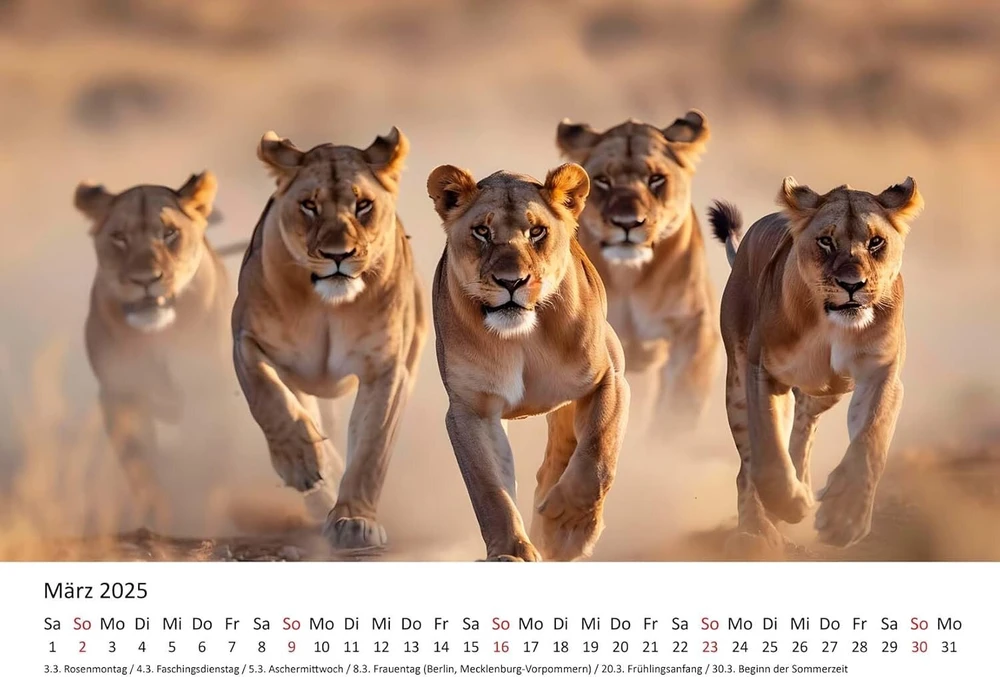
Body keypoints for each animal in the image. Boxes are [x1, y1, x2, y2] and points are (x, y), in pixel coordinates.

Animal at [74, 171, 230, 524]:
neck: (157, 337)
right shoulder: (121, 393)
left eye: (170, 233)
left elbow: (208, 464)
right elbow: (141, 468)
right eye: (119, 237)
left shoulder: (210, 392)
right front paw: (157, 519)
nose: (146, 279)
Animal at [231, 127, 428, 549]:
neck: (328, 306)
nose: (339, 255)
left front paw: (355, 521)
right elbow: (270, 399)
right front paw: (301, 464)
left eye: (363, 205)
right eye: (309, 205)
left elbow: (371, 449)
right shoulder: (248, 341)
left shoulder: (388, 368)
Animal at [427, 162, 630, 561]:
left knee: (561, 459)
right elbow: (490, 489)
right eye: (482, 231)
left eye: (537, 231)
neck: (522, 337)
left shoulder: (609, 379)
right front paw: (511, 551)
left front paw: (567, 530)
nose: (512, 281)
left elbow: (597, 456)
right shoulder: (470, 410)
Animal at [556, 110, 719, 438]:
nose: (627, 222)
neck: (629, 278)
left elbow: (684, 397)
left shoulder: (696, 323)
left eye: (656, 179)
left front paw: (667, 440)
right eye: (603, 181)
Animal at [709, 176, 923, 555]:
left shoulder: (881, 373)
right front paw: (788, 503)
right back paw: (755, 534)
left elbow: (870, 439)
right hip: (737, 382)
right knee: (747, 466)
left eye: (876, 242)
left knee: (804, 429)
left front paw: (843, 518)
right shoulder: (764, 371)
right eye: (826, 241)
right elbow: (768, 452)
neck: (831, 326)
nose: (852, 285)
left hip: (826, 392)